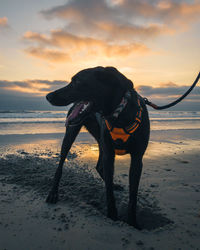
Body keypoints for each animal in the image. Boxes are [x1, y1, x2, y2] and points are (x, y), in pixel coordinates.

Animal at [45, 66, 149, 229]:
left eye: (77, 81)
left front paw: (132, 222)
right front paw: (112, 216)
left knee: (100, 167)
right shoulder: (109, 154)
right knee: (61, 165)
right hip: (71, 134)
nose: (48, 96)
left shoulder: (137, 159)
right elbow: (109, 193)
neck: (120, 114)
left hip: (100, 141)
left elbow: (133, 195)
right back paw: (53, 193)